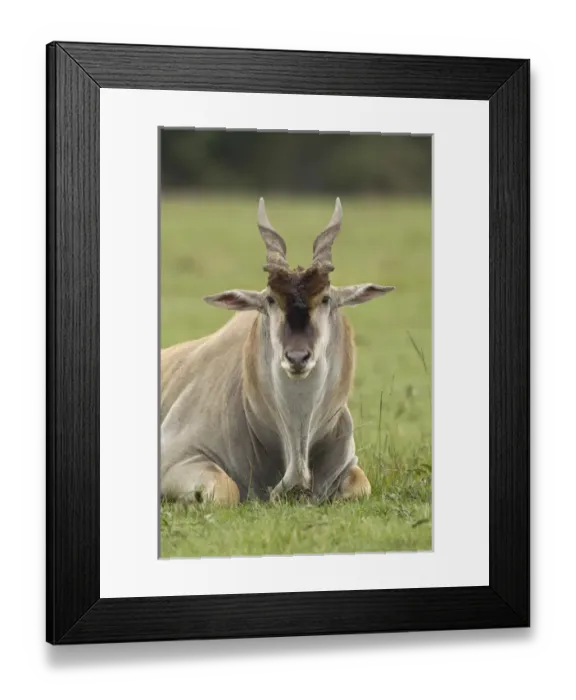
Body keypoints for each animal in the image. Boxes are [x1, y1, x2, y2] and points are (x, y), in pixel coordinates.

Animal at [160, 197, 395, 505]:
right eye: (271, 300)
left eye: (325, 298)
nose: (297, 357)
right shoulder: (177, 461)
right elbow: (226, 490)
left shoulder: (350, 469)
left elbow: (360, 486)